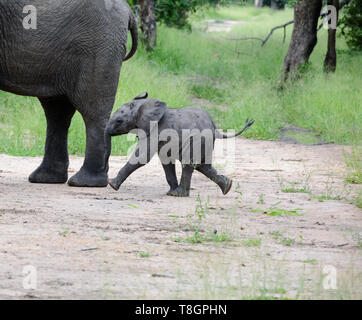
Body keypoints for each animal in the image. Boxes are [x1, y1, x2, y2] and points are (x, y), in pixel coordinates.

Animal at [0, 0, 138, 186]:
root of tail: (128, 10)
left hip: (98, 44)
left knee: (92, 110)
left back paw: (85, 182)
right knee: (57, 111)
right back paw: (46, 178)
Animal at [104, 92, 255, 198]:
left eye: (118, 121)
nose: (106, 178)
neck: (144, 104)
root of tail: (214, 127)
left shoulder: (155, 129)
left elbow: (142, 157)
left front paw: (112, 184)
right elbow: (166, 161)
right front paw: (169, 192)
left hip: (198, 140)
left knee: (189, 163)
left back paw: (179, 194)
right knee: (203, 166)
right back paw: (227, 187)